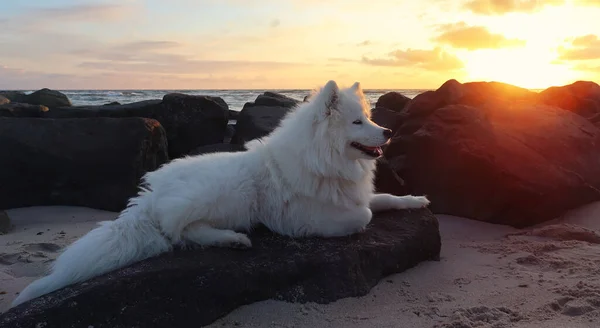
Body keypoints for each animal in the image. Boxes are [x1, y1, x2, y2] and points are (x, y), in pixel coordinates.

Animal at [11, 79, 428, 308]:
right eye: (358, 122)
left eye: (370, 118)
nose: (388, 132)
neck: (323, 159)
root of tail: (148, 199)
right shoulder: (309, 216)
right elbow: (365, 216)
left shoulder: (350, 194)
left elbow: (382, 201)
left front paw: (416, 200)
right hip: (227, 192)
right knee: (182, 232)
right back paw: (231, 239)